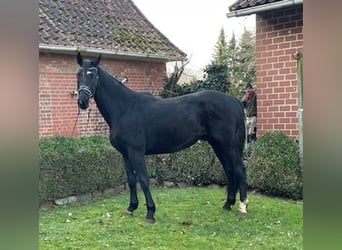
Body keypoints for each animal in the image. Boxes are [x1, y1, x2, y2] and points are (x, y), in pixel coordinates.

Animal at [76, 53, 248, 223]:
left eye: (93, 75)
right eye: (78, 74)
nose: (82, 101)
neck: (125, 109)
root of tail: (235, 101)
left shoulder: (136, 152)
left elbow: (143, 180)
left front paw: (150, 212)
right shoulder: (125, 154)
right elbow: (131, 180)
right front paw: (131, 208)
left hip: (229, 145)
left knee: (239, 169)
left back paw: (242, 206)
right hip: (218, 145)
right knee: (229, 170)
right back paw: (228, 204)